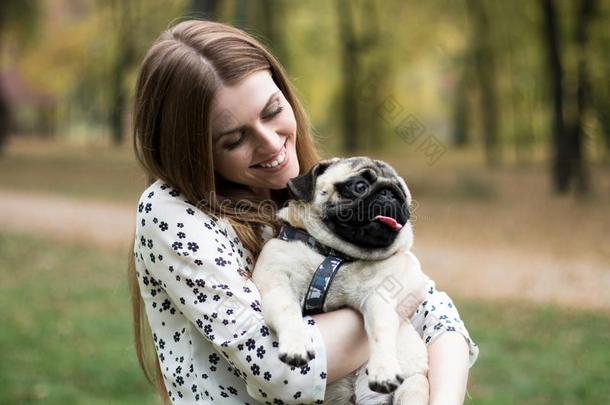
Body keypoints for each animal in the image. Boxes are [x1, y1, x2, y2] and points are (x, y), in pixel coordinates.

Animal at [252, 156, 428, 402]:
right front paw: (297, 343)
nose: (390, 194)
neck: (335, 255)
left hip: (414, 385)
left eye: (403, 195)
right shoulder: (277, 284)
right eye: (359, 187)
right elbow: (288, 311)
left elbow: (381, 330)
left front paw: (383, 369)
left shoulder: (378, 299)